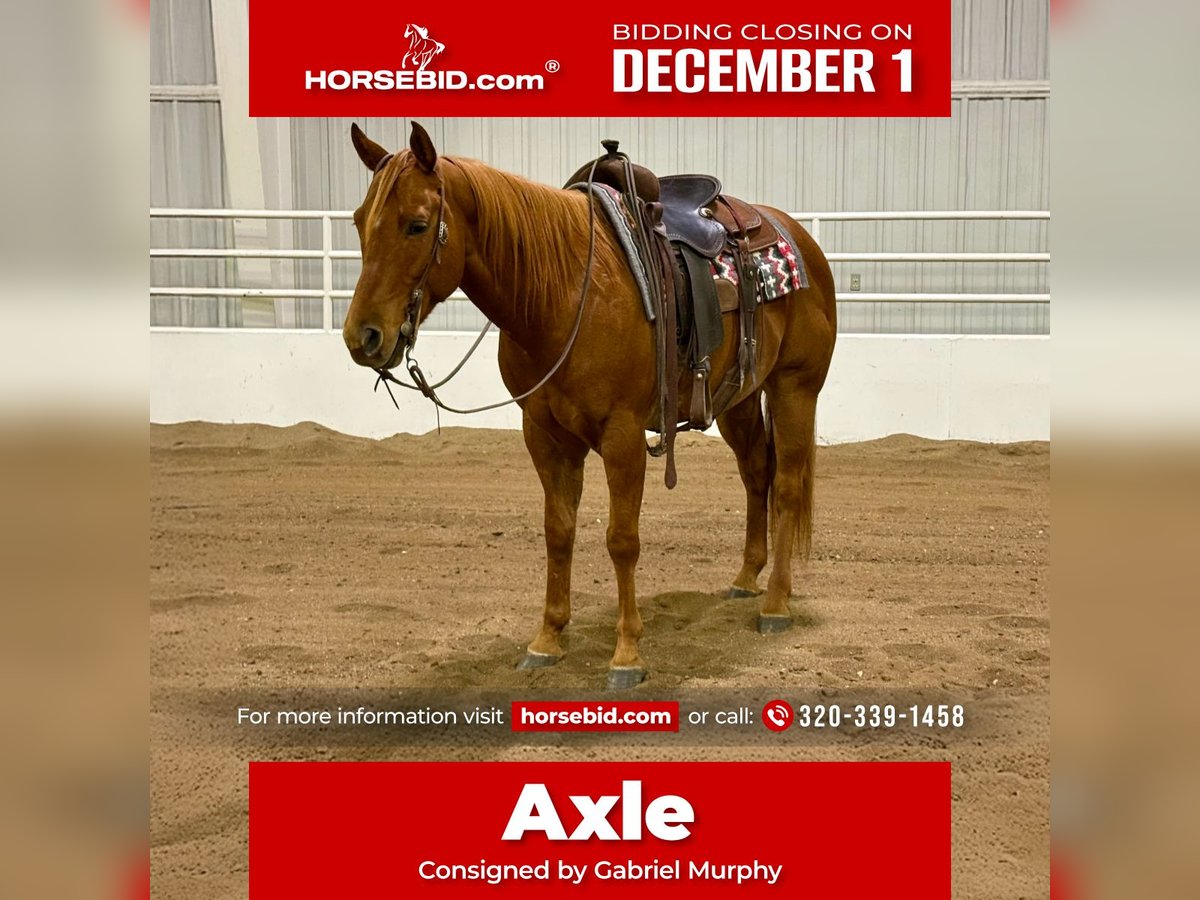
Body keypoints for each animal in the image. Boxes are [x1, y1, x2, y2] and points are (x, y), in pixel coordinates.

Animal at [343, 121, 837, 689]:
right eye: (359, 221)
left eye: (418, 225)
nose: (362, 337)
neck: (561, 296)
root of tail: (798, 238)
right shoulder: (544, 434)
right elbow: (559, 531)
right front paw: (547, 639)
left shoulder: (621, 436)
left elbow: (621, 539)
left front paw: (627, 655)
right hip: (740, 397)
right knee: (757, 474)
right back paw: (745, 577)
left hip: (795, 388)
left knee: (788, 486)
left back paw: (775, 603)